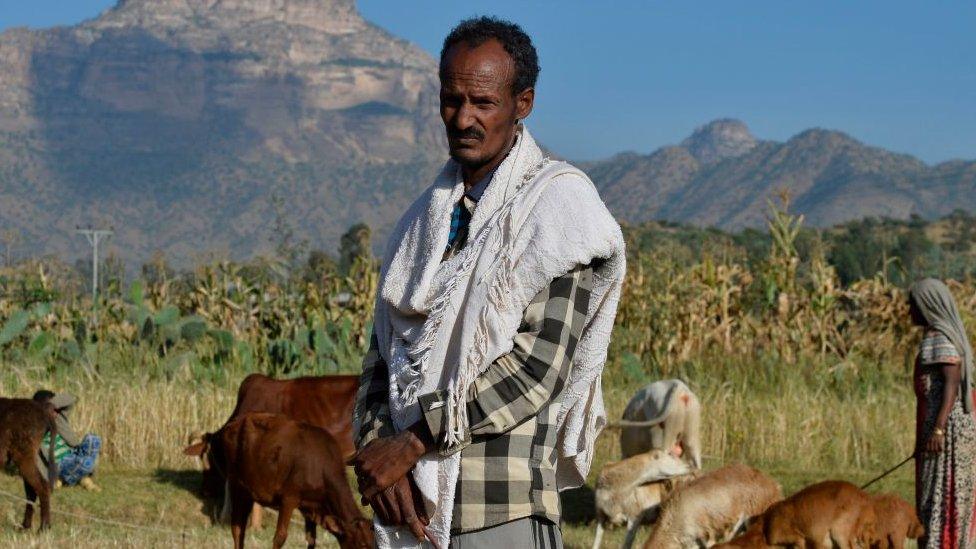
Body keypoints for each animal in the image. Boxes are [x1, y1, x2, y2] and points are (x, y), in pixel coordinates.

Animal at [0, 396, 58, 528]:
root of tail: (43, 410)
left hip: (23, 455)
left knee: (41, 487)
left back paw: (43, 528)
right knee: (31, 491)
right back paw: (25, 526)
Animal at [194, 412, 374, 548]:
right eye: (363, 544)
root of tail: (234, 423)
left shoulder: (310, 506)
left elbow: (311, 539)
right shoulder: (289, 498)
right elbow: (280, 537)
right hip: (237, 487)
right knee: (238, 528)